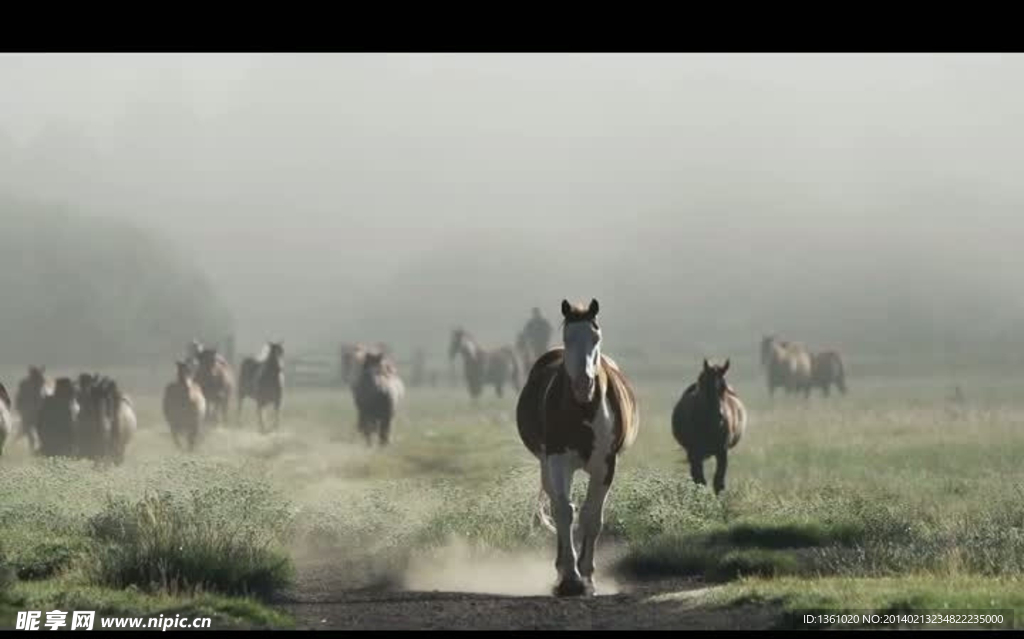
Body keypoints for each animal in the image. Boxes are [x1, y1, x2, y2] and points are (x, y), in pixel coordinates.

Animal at [516, 299, 634, 598]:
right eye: (567, 337)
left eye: (596, 337)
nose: (584, 384)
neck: (584, 410)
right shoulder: (558, 460)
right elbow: (564, 511)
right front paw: (569, 577)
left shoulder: (605, 465)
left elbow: (591, 516)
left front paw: (587, 576)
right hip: (546, 464)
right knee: (556, 503)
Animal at [667, 360, 749, 493]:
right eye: (706, 387)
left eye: (724, 387)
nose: (719, 415)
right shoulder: (694, 452)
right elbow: (700, 480)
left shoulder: (722, 451)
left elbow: (719, 482)